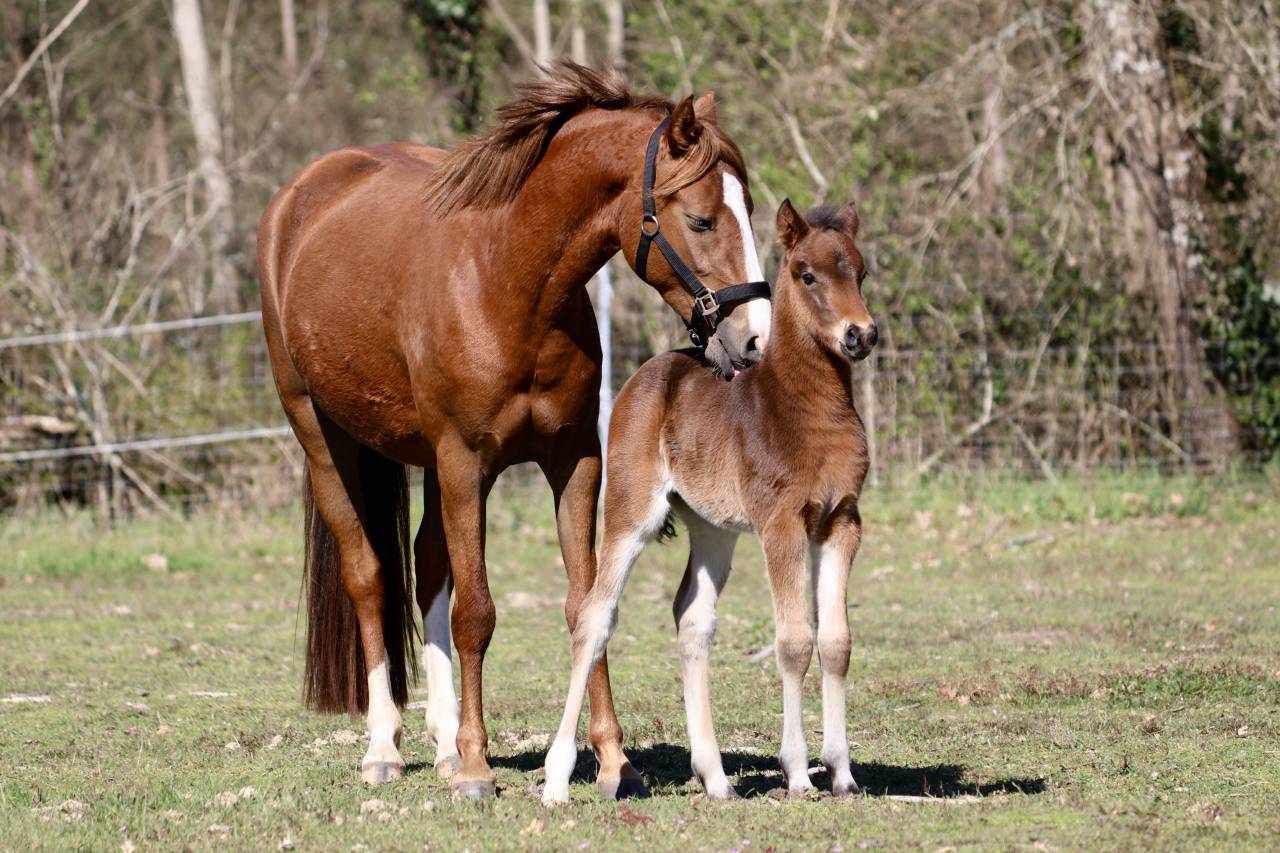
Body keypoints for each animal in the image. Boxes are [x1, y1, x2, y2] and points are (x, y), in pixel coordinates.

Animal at [257, 61, 773, 799]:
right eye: (701, 218)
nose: (755, 337)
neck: (507, 279)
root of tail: (300, 197)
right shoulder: (464, 462)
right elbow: (476, 611)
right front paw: (477, 768)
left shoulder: (574, 462)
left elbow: (588, 605)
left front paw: (612, 761)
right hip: (325, 440)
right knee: (371, 577)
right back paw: (387, 747)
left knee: (428, 570)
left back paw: (444, 739)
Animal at [542, 199, 877, 803]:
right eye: (807, 275)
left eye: (860, 273)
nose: (861, 335)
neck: (807, 411)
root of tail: (647, 373)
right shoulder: (781, 522)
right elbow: (795, 641)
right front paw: (798, 774)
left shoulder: (842, 520)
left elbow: (836, 641)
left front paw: (842, 773)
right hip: (631, 512)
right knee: (595, 616)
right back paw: (557, 779)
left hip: (713, 529)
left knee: (692, 617)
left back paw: (715, 777)